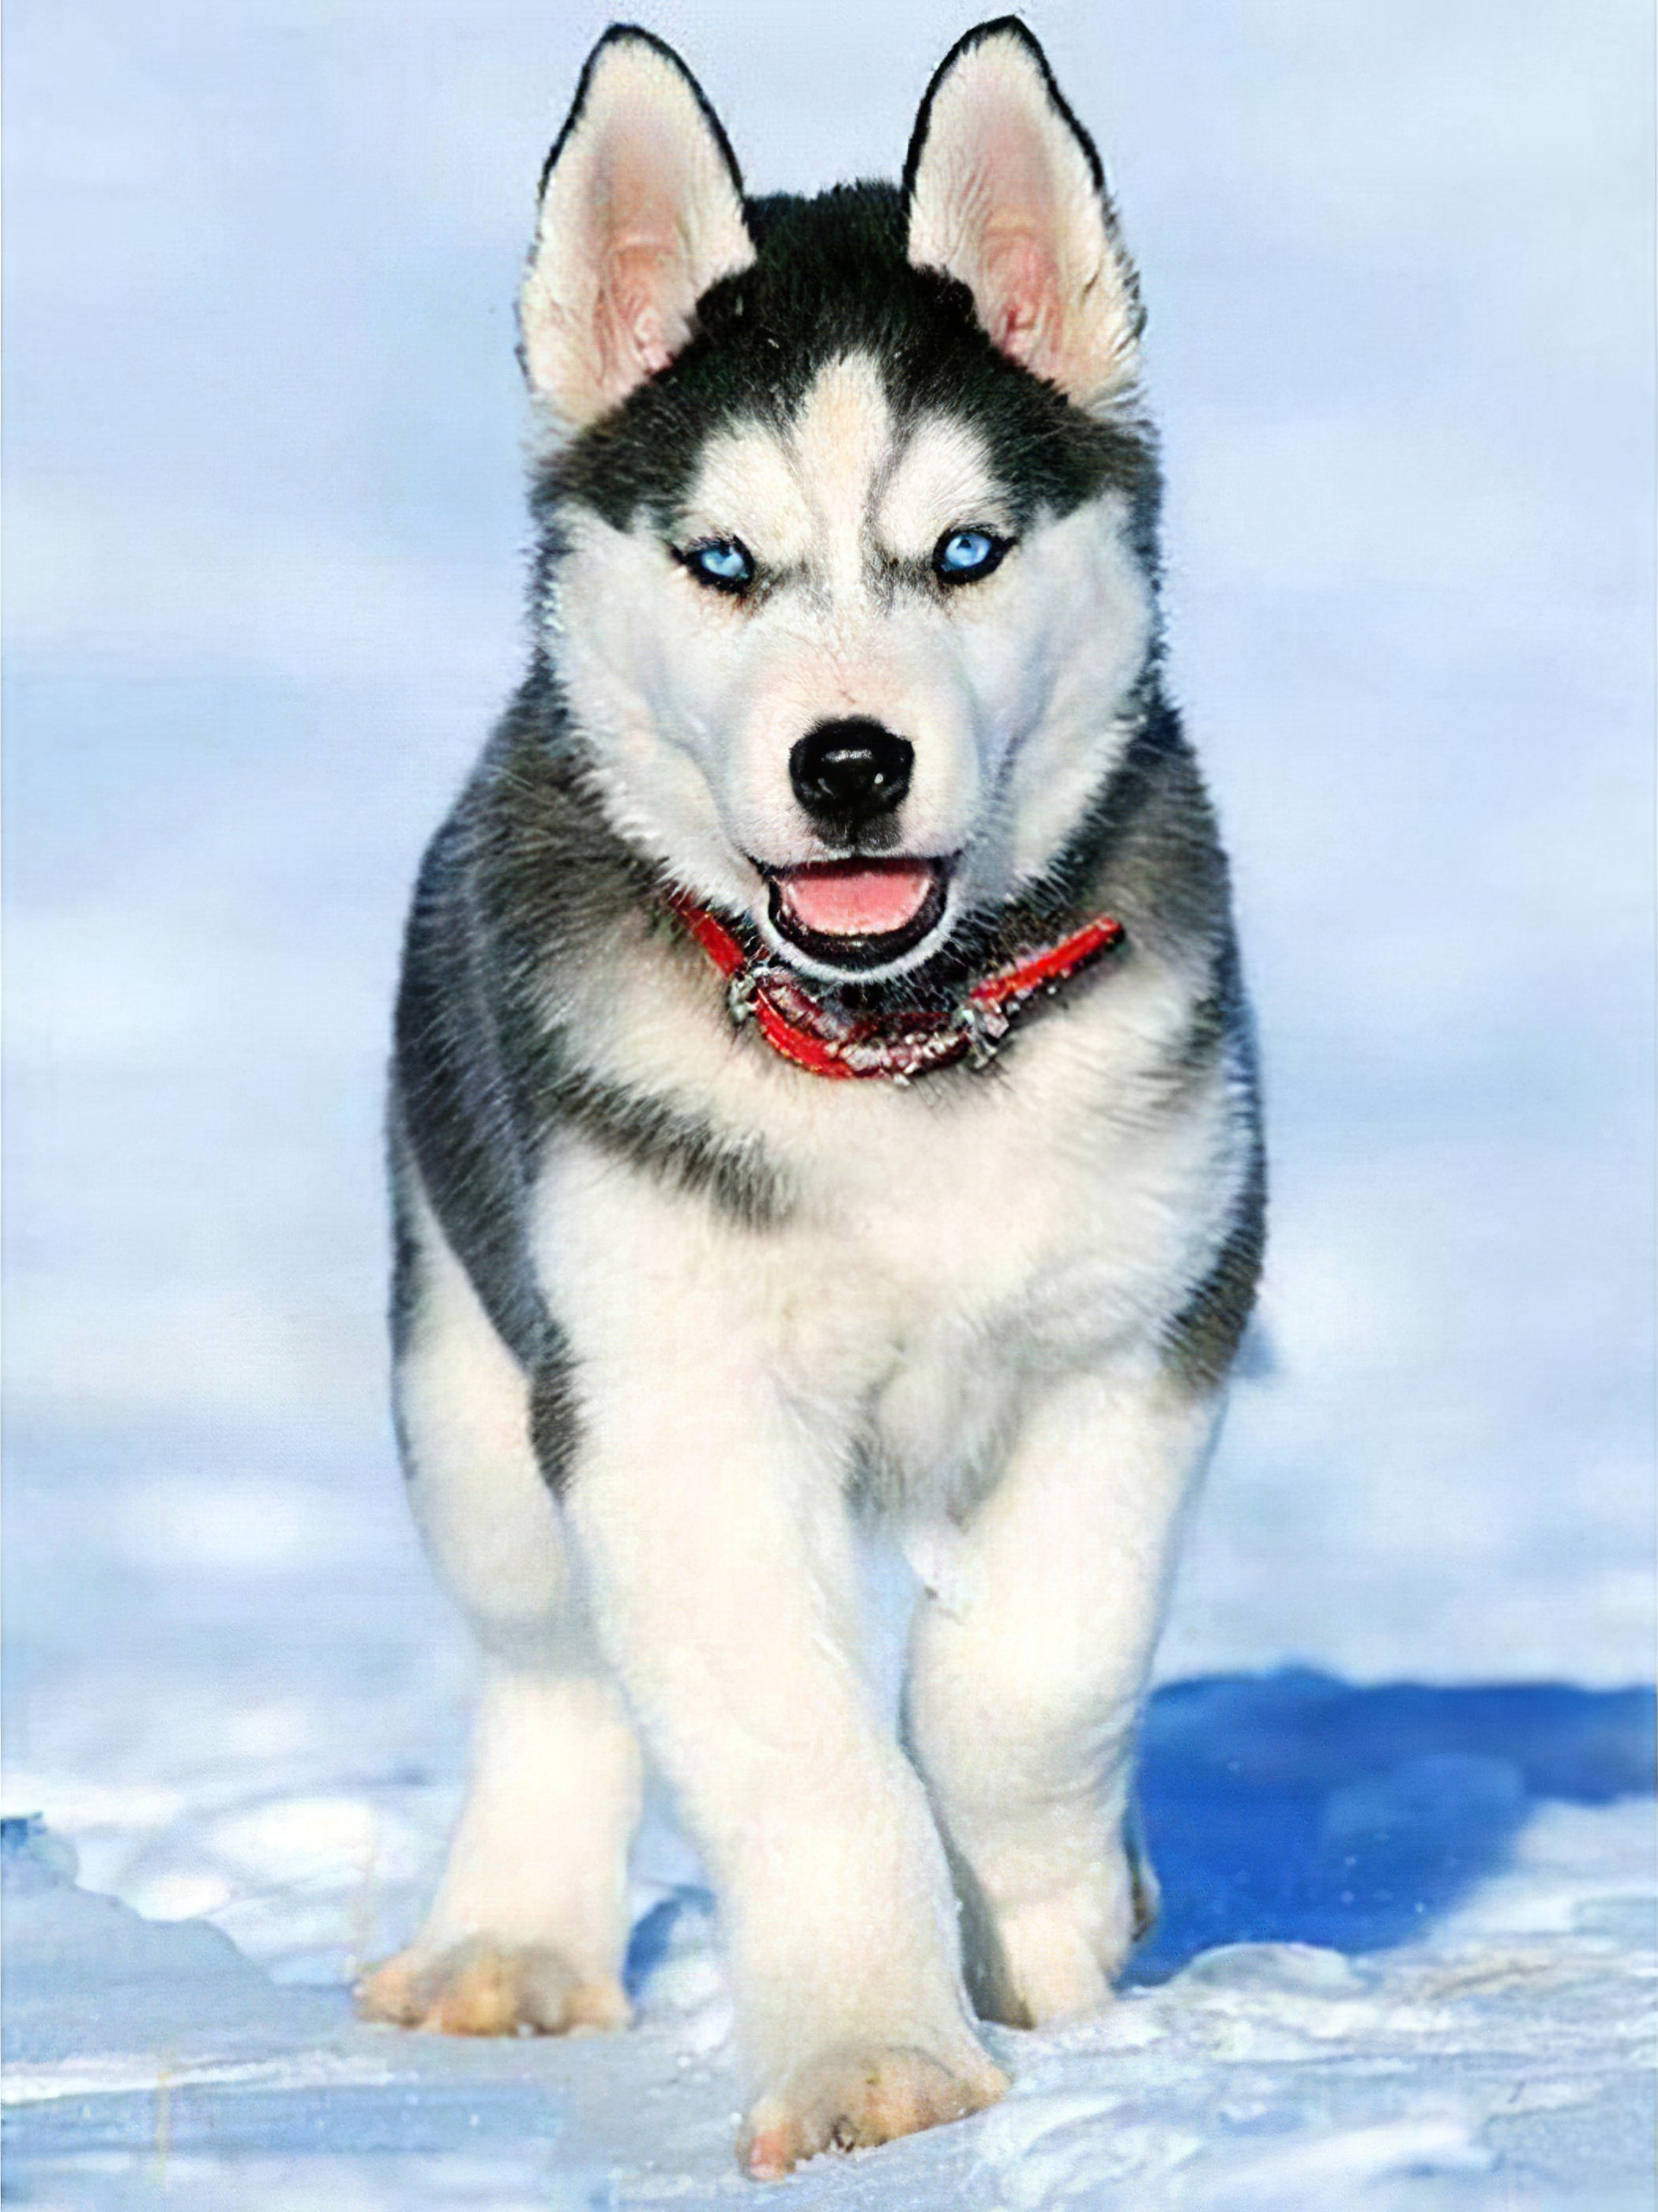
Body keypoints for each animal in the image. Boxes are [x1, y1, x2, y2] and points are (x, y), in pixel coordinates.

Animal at [358, 21, 1264, 2176]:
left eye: (963, 552)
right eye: (722, 565)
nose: (849, 762)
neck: (891, 1052)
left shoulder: (1146, 1322)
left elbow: (1032, 1672)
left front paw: (1048, 1914)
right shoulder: (666, 1405)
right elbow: (795, 1751)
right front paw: (875, 2056)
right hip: (467, 1363)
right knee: (547, 1661)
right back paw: (509, 1940)